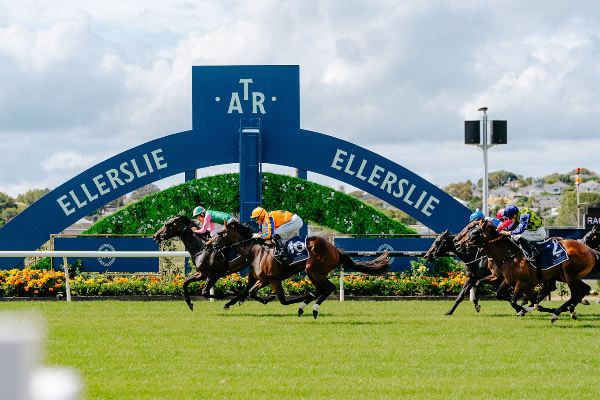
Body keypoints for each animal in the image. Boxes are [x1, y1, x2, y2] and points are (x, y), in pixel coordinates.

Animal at [198, 219, 390, 318]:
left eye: (220, 233)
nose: (208, 244)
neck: (255, 250)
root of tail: (335, 249)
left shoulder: (273, 279)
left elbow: (282, 300)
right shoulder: (262, 279)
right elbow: (250, 292)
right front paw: (232, 302)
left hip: (313, 270)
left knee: (328, 288)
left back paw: (310, 307)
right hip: (314, 272)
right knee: (324, 289)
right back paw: (307, 306)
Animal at [454, 217, 600, 324]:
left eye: (473, 231)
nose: (458, 243)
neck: (509, 254)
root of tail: (590, 250)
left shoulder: (522, 283)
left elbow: (514, 301)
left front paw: (527, 309)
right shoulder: (505, 279)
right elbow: (488, 288)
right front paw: (477, 304)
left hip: (569, 274)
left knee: (576, 293)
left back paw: (557, 313)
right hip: (566, 276)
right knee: (582, 290)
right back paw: (567, 309)